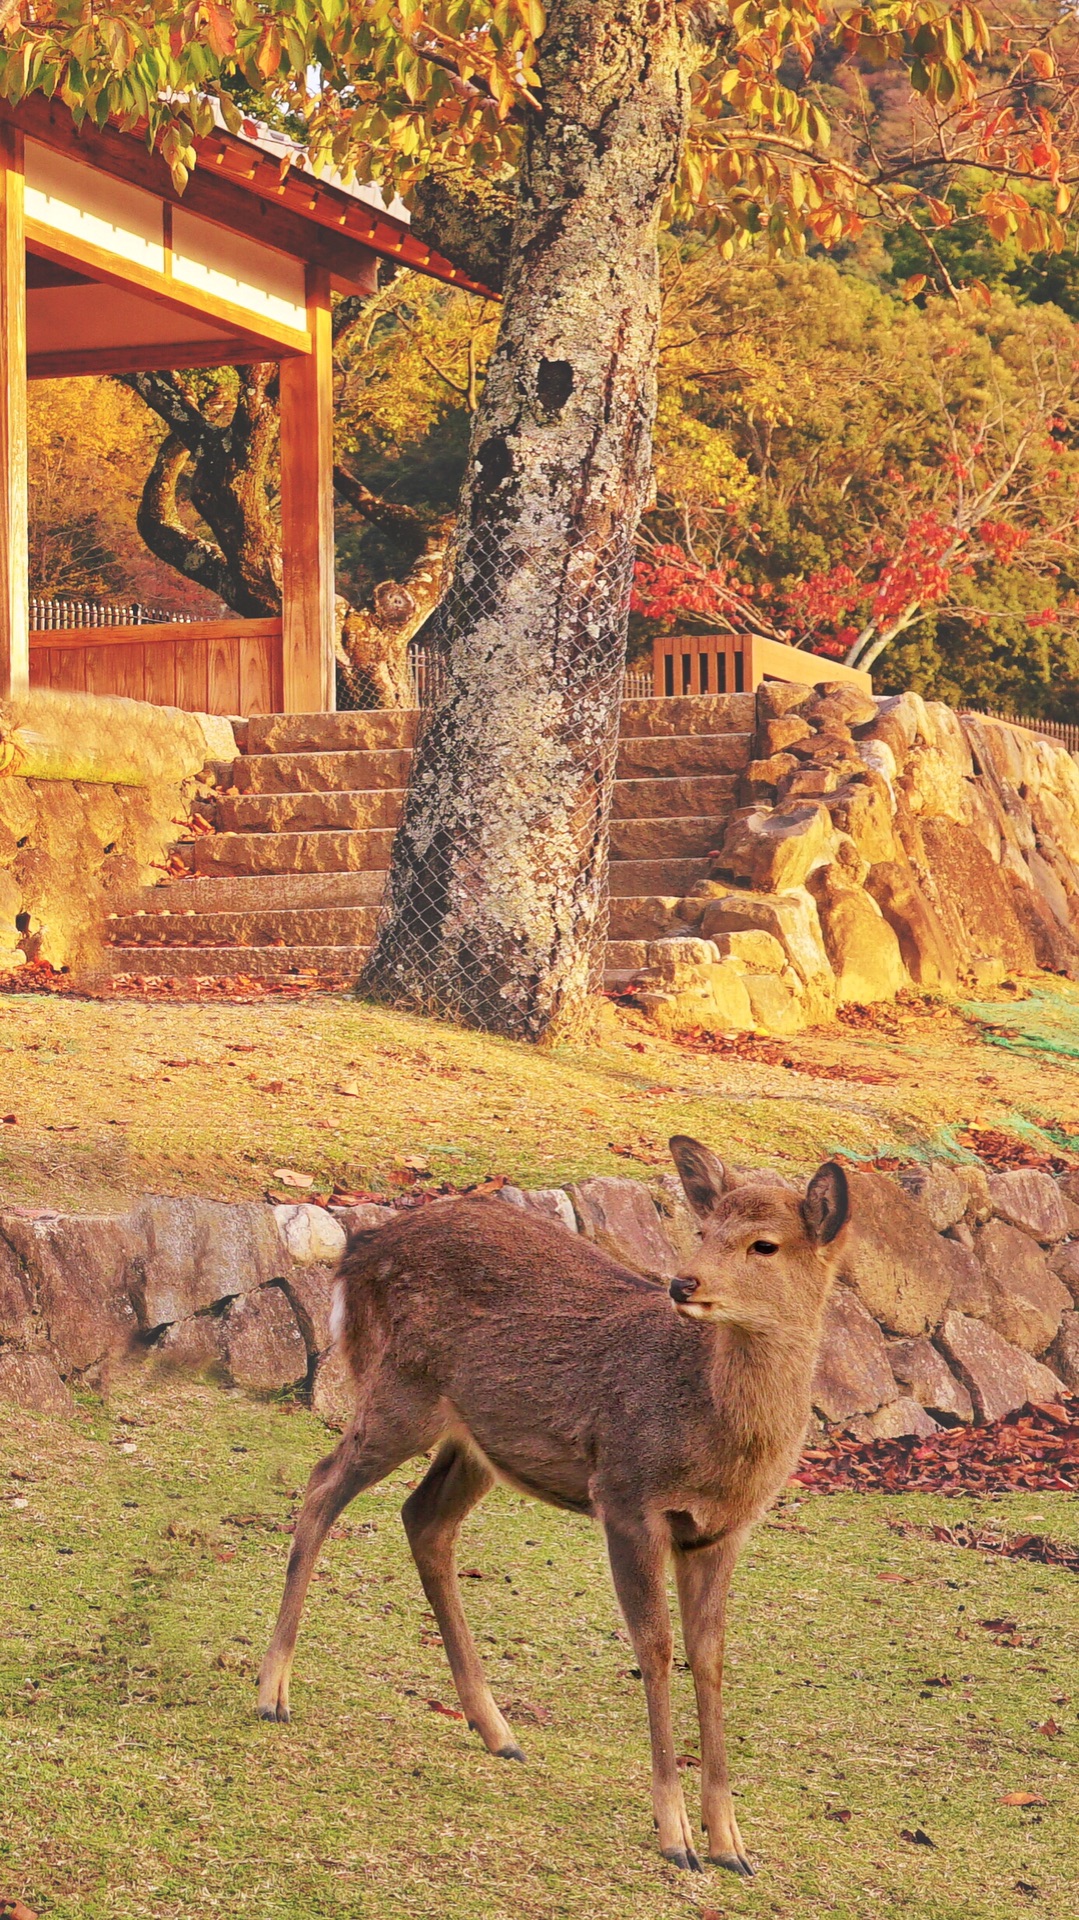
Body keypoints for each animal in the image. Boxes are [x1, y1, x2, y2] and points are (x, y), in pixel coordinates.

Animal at [255, 1136, 844, 1873]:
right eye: (702, 1232)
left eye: (765, 1244)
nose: (683, 1284)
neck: (716, 1441)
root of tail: (355, 1253)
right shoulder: (625, 1495)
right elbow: (654, 1647)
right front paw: (675, 1837)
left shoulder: (721, 1532)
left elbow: (708, 1657)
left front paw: (731, 1844)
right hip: (399, 1390)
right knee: (319, 1484)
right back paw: (272, 1694)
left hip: (476, 1442)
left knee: (422, 1517)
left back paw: (497, 1730)